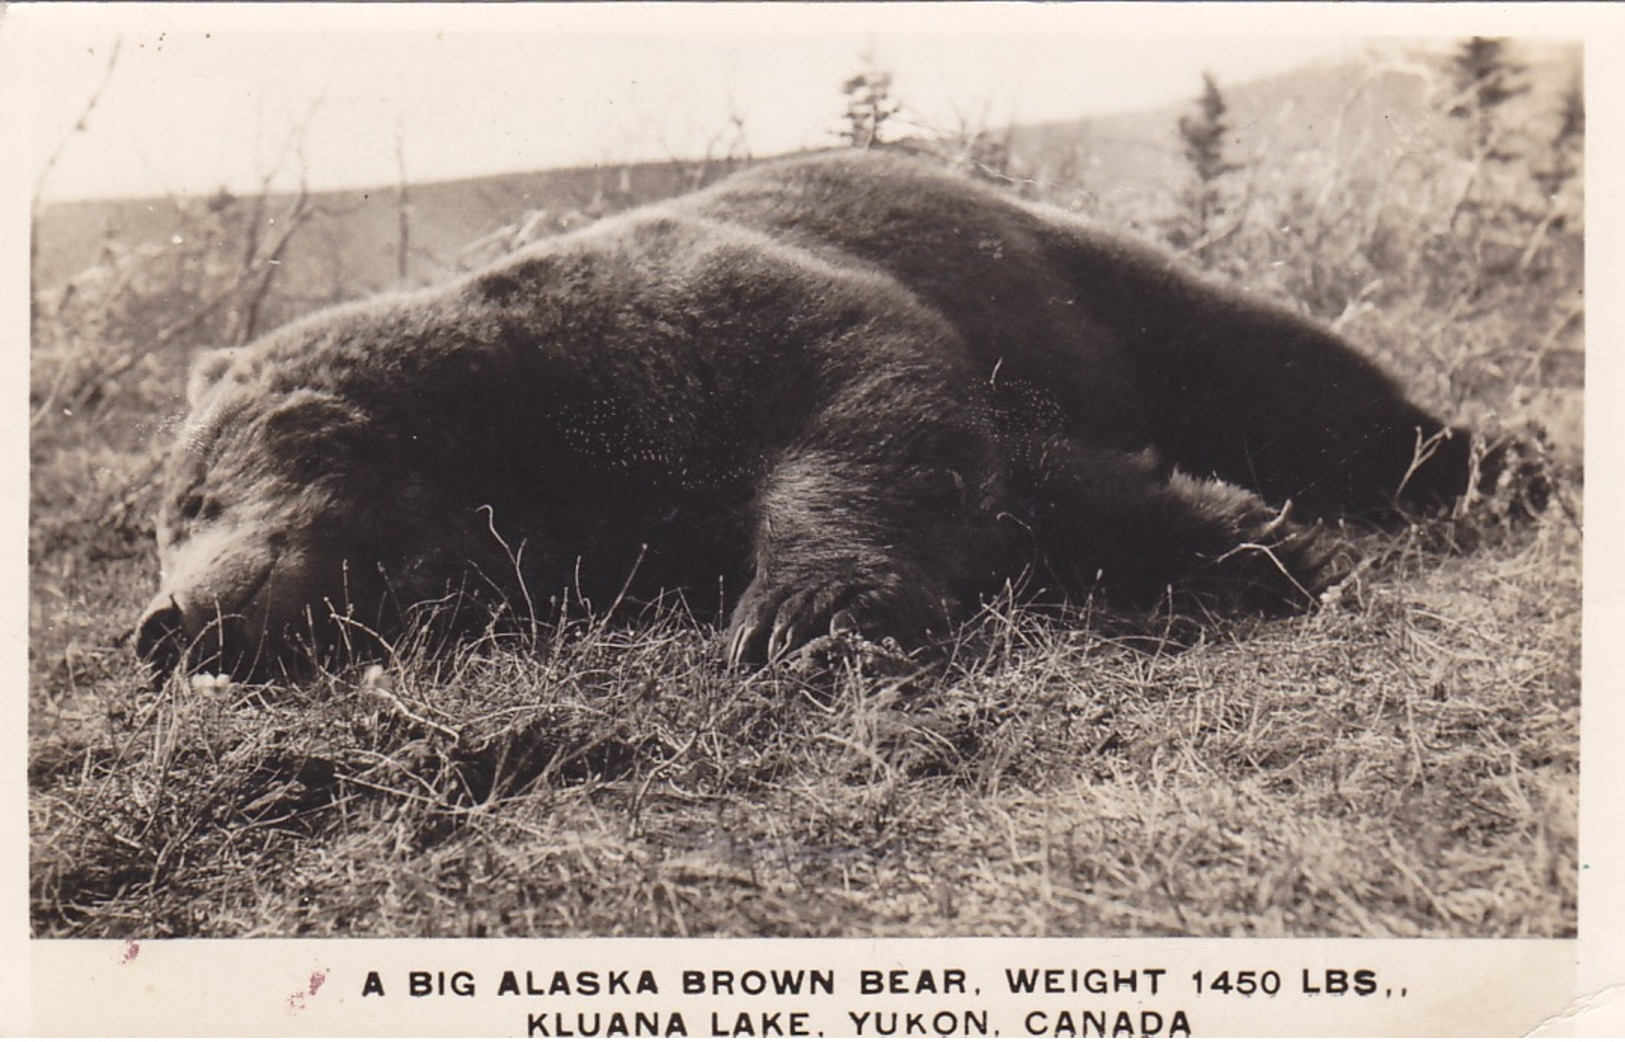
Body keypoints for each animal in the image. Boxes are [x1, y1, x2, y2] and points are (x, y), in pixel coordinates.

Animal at [136, 150, 1508, 679]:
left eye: (192, 502)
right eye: (164, 523)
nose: (162, 623)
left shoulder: (691, 320)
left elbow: (866, 390)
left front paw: (806, 611)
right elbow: (1035, 482)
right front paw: (1233, 538)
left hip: (1078, 277)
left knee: (1272, 365)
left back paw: (1485, 466)